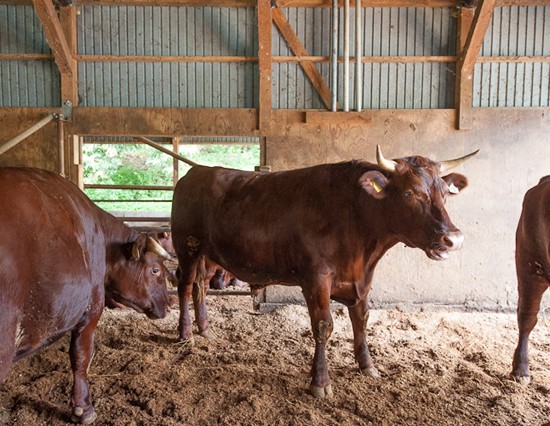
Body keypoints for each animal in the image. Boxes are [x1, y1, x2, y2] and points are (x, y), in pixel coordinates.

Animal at [171, 146, 478, 396]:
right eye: (409, 192)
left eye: (444, 193)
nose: (453, 238)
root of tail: (197, 171)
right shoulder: (316, 280)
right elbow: (323, 326)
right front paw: (320, 381)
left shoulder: (361, 280)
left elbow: (361, 319)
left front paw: (367, 365)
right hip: (186, 247)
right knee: (185, 286)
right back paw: (185, 333)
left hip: (209, 255)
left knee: (200, 286)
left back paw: (205, 329)